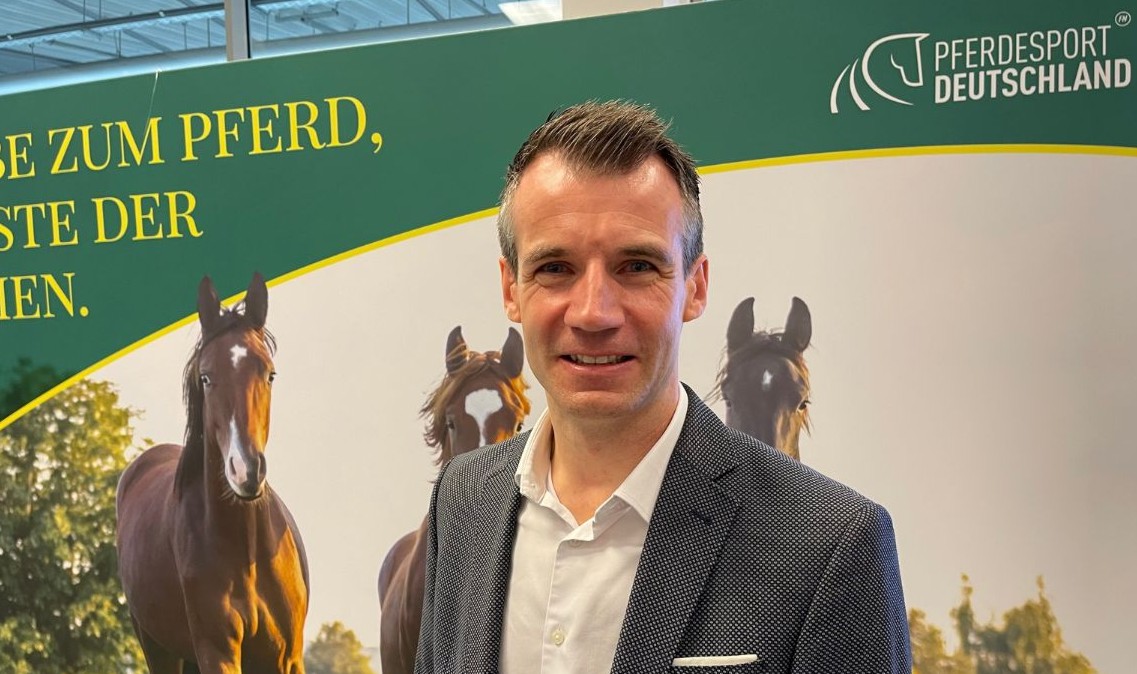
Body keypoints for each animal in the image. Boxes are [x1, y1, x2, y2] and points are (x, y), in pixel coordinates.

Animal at [116, 273, 309, 674]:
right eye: (205, 377)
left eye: (270, 374)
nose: (246, 469)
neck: (246, 550)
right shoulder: (217, 652)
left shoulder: (287, 656)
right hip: (158, 647)